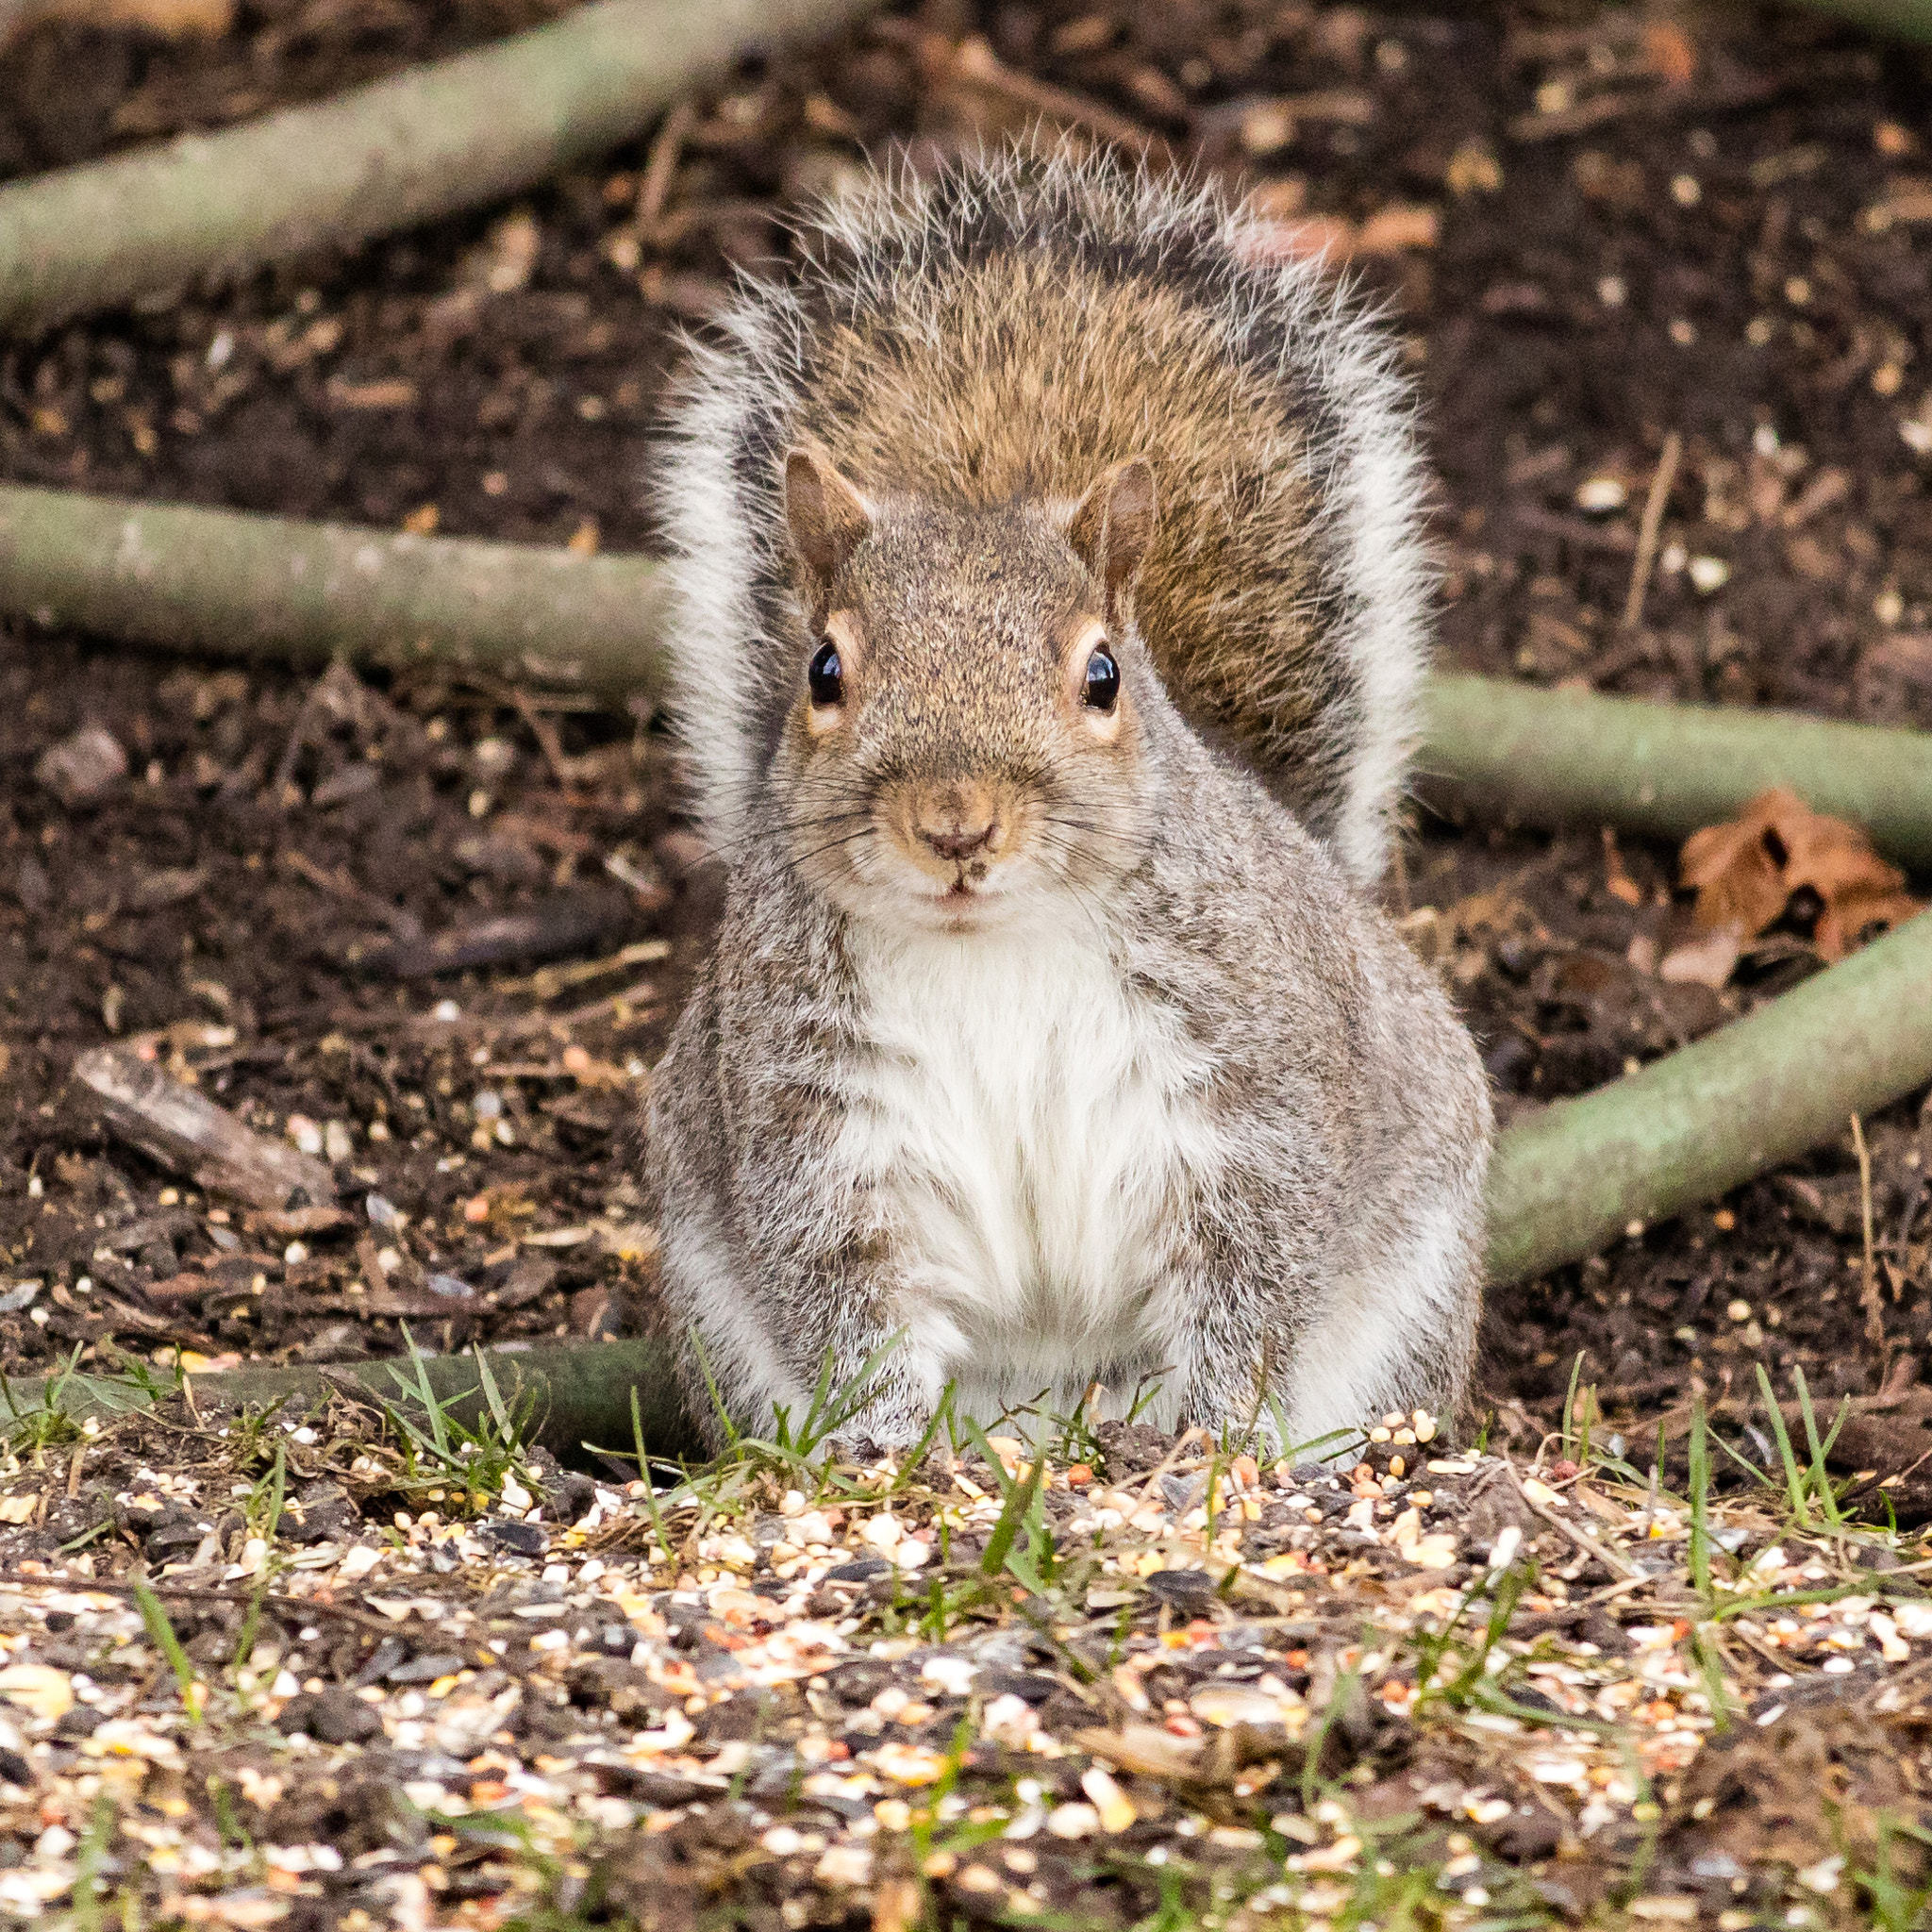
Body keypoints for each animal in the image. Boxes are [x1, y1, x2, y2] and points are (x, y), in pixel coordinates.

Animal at [646, 143, 1492, 1454]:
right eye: (822, 670)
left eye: (1101, 675)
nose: (955, 823)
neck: (994, 944)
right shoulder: (815, 1113)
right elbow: (843, 1290)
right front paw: (879, 1438)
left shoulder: (1252, 1083)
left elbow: (1253, 1263)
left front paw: (1211, 1428)